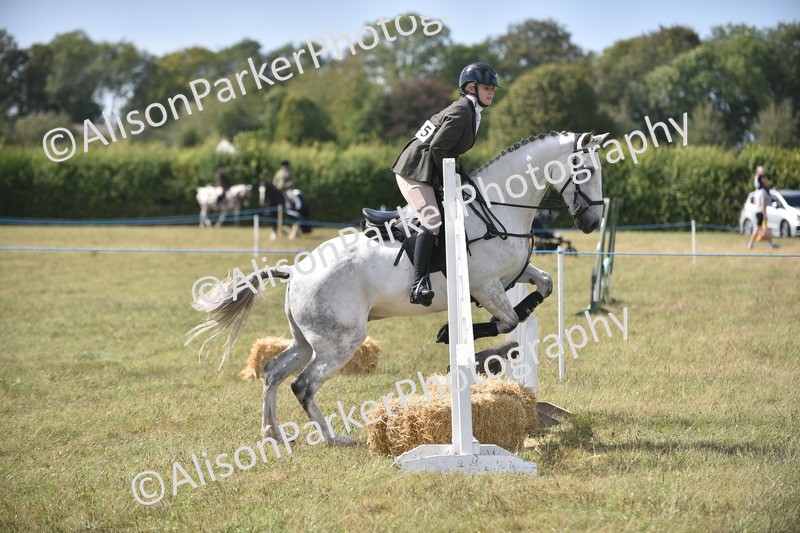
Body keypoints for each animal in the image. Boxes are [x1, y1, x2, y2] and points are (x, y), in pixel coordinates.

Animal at [187, 131, 607, 445]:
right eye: (585, 170)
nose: (591, 222)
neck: (498, 207)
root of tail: (296, 271)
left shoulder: (510, 277)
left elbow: (543, 287)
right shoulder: (488, 287)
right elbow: (507, 323)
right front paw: (460, 338)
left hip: (308, 340)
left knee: (273, 371)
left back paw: (272, 432)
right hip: (342, 340)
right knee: (303, 385)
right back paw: (335, 438)